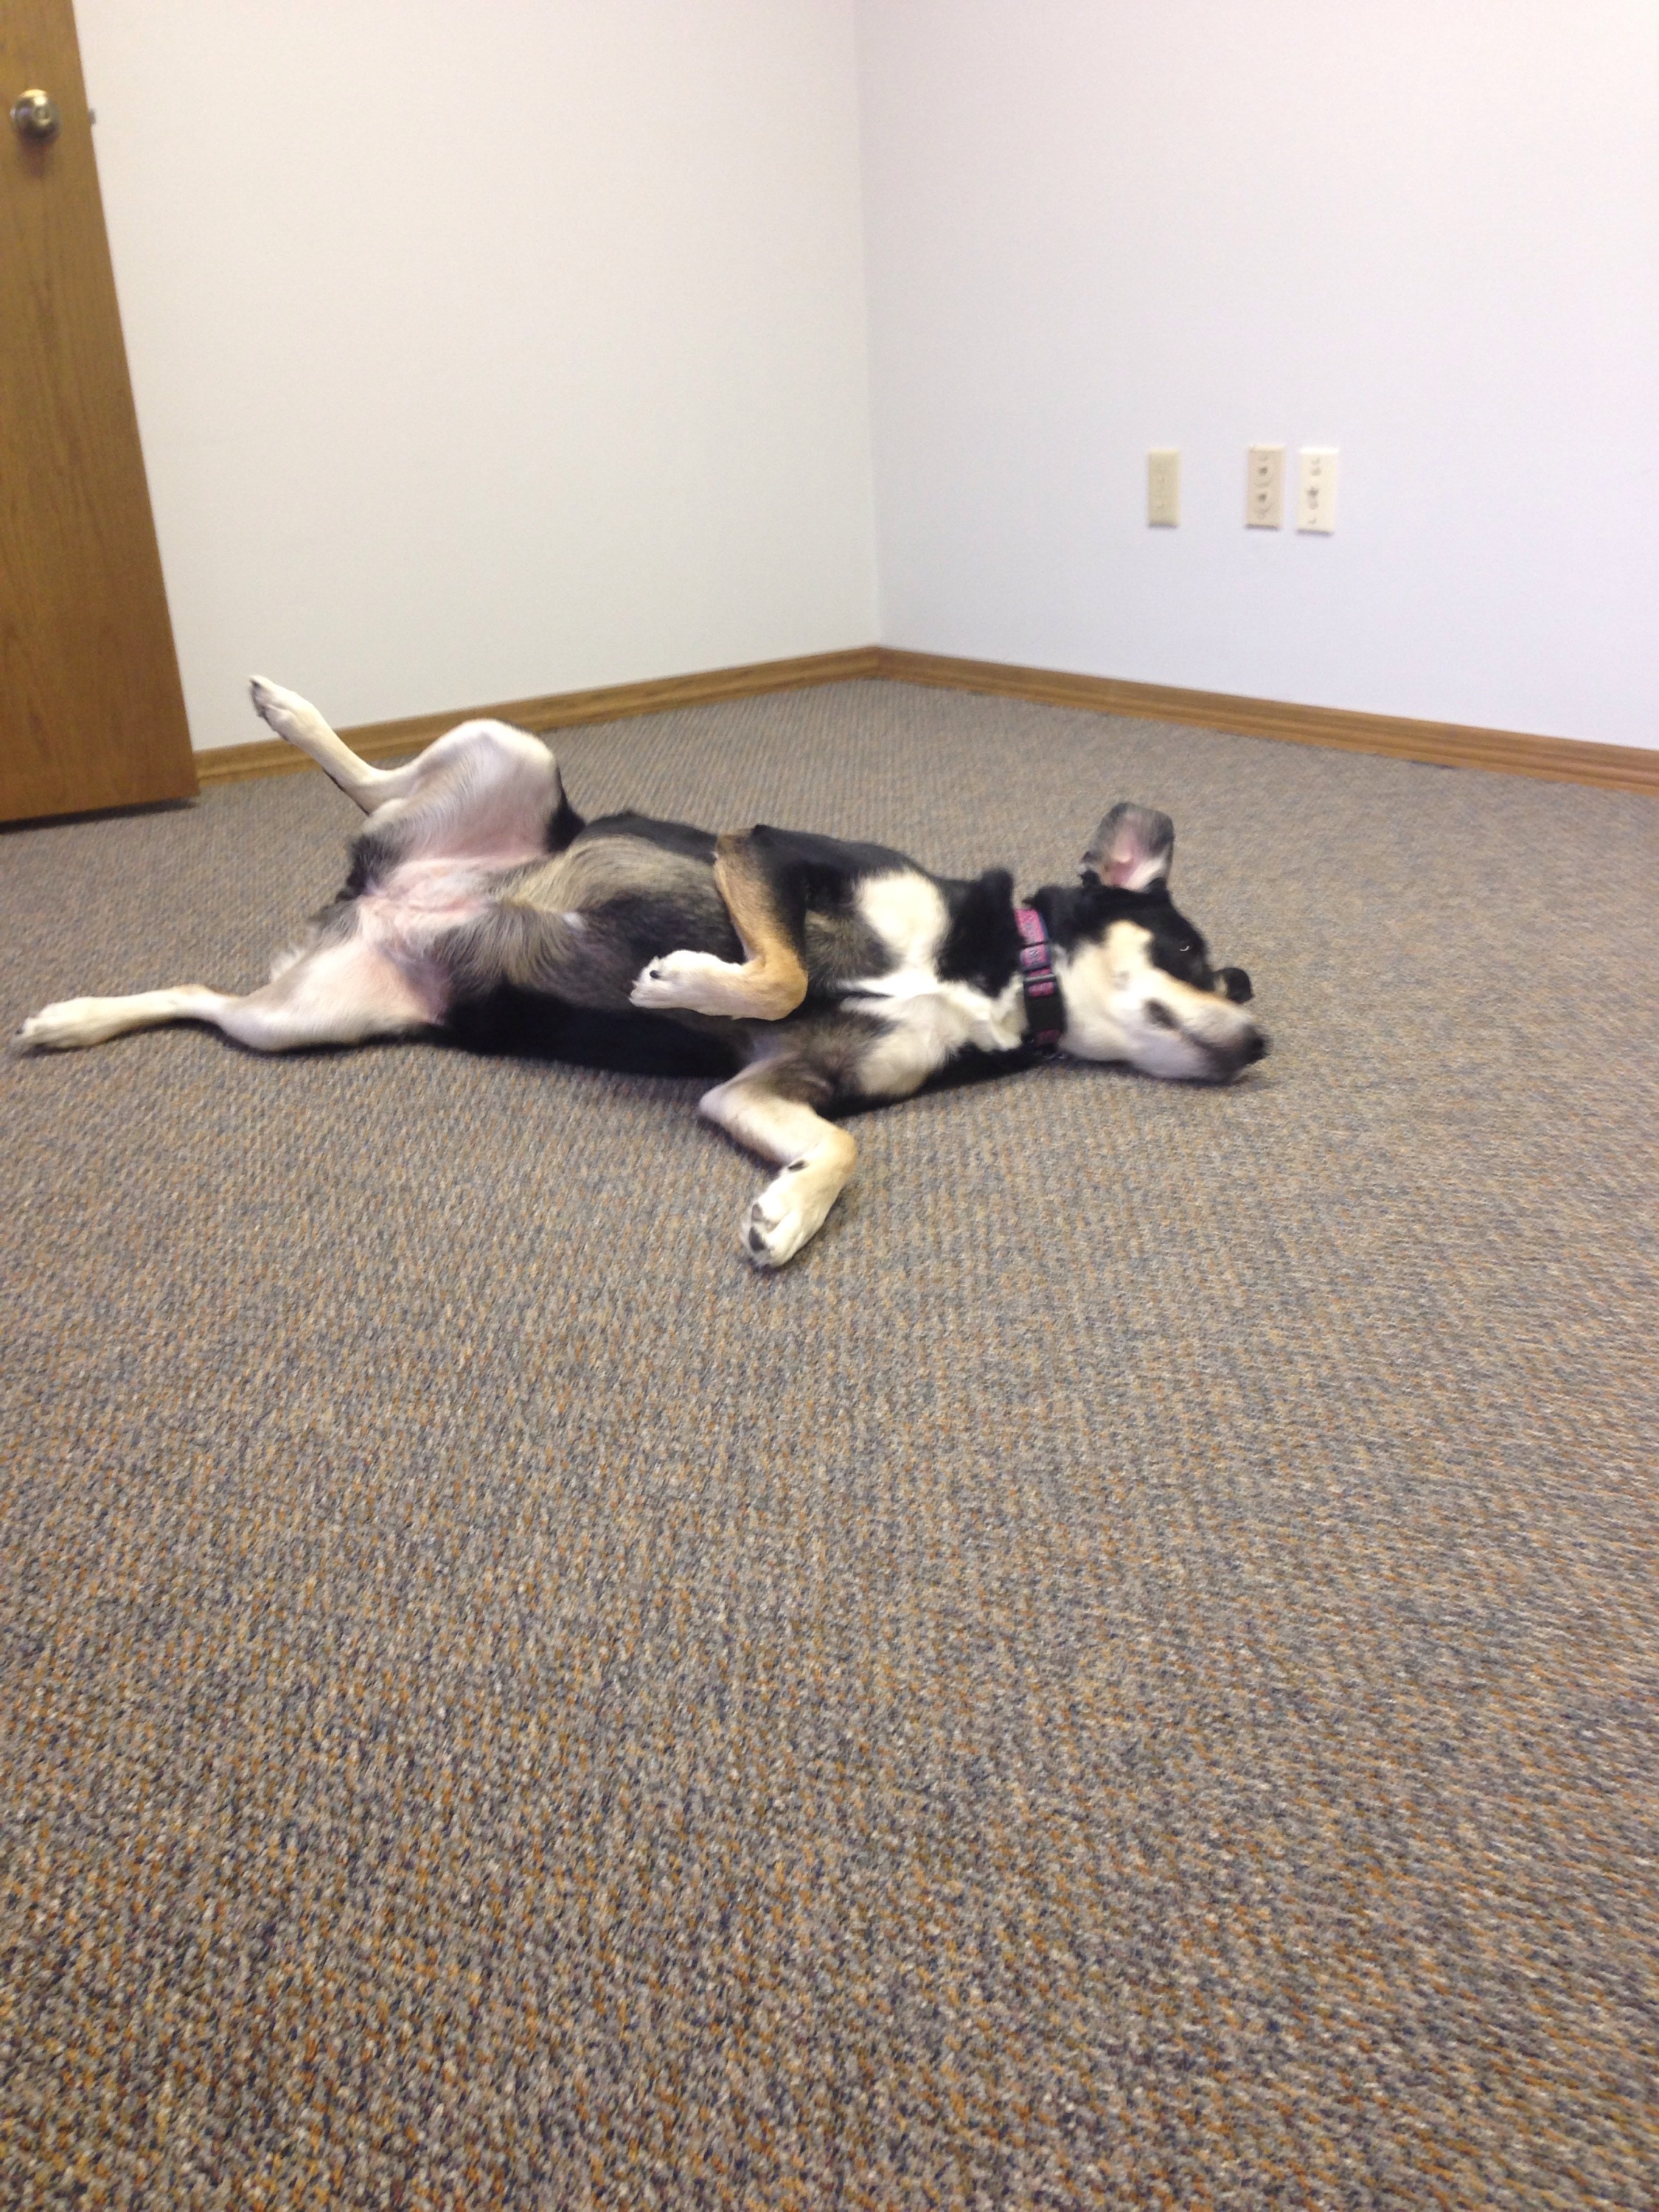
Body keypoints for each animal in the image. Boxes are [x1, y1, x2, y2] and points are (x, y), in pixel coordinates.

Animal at [15, 679, 1267, 1266]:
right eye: (1201, 960)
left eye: (1242, 988)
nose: (1258, 1041)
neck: (1003, 974)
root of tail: (381, 891)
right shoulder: (766, 854)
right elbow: (776, 971)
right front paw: (680, 984)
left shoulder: (760, 1092)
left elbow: (838, 1146)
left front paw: (786, 1218)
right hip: (509, 750)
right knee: (366, 780)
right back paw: (288, 711)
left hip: (304, 1021)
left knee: (204, 1000)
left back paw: (75, 1018)